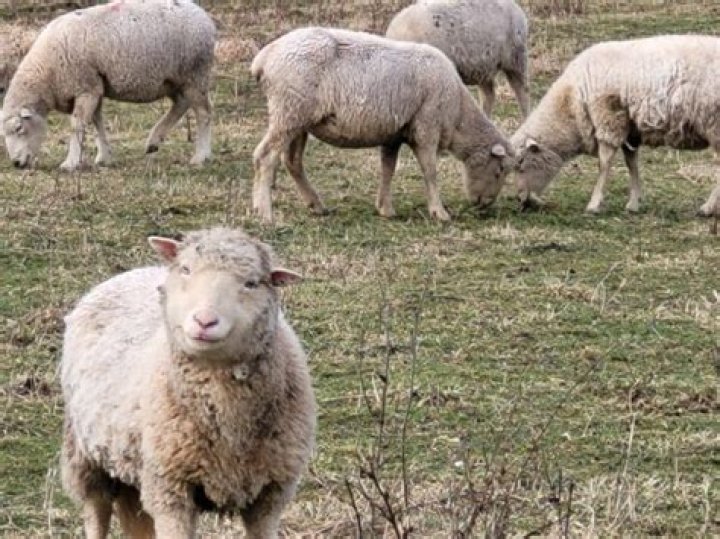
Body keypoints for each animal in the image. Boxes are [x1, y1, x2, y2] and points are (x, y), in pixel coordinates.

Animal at [1, 0, 215, 171]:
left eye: (19, 128)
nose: (16, 164)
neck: (46, 73)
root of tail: (204, 16)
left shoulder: (86, 87)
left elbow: (78, 125)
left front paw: (70, 163)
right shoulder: (96, 88)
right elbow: (97, 122)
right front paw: (104, 156)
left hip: (195, 74)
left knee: (203, 113)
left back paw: (200, 156)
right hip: (172, 80)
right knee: (181, 103)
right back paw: (154, 141)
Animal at [60, 228, 316, 539]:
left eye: (252, 283)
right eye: (186, 269)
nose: (204, 321)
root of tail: (134, 271)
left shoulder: (270, 494)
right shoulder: (170, 489)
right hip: (86, 457)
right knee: (96, 511)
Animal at [251, 27, 512, 224]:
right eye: (499, 170)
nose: (485, 205)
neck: (458, 113)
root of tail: (264, 57)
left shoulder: (393, 134)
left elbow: (388, 168)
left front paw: (385, 208)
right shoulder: (426, 128)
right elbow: (430, 171)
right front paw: (439, 212)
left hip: (299, 120)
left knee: (292, 161)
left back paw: (315, 205)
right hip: (288, 112)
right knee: (265, 156)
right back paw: (265, 214)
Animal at [511, 35, 720, 216]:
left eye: (521, 163)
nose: (521, 201)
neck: (570, 103)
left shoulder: (609, 119)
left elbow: (603, 164)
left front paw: (594, 204)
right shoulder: (630, 130)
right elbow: (631, 163)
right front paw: (633, 203)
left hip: (714, 124)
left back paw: (707, 208)